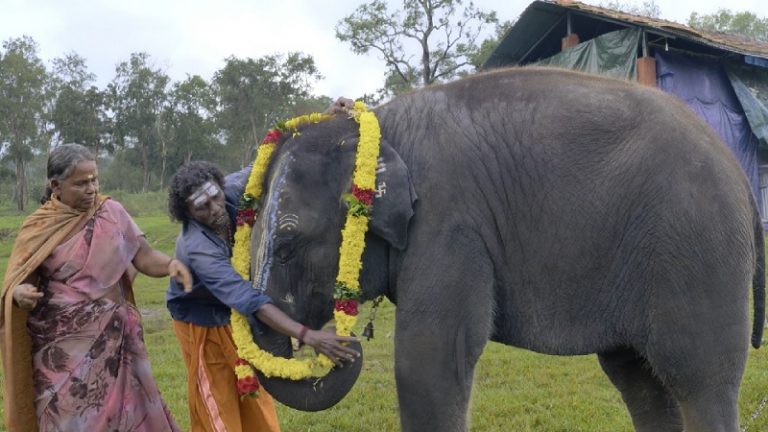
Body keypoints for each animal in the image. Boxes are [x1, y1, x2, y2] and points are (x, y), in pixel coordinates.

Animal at [246, 67, 765, 432]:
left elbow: (428, 363)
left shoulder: (449, 223)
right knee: (639, 382)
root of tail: (738, 170)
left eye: (288, 246)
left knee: (699, 380)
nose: (345, 344)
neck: (380, 130)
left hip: (698, 247)